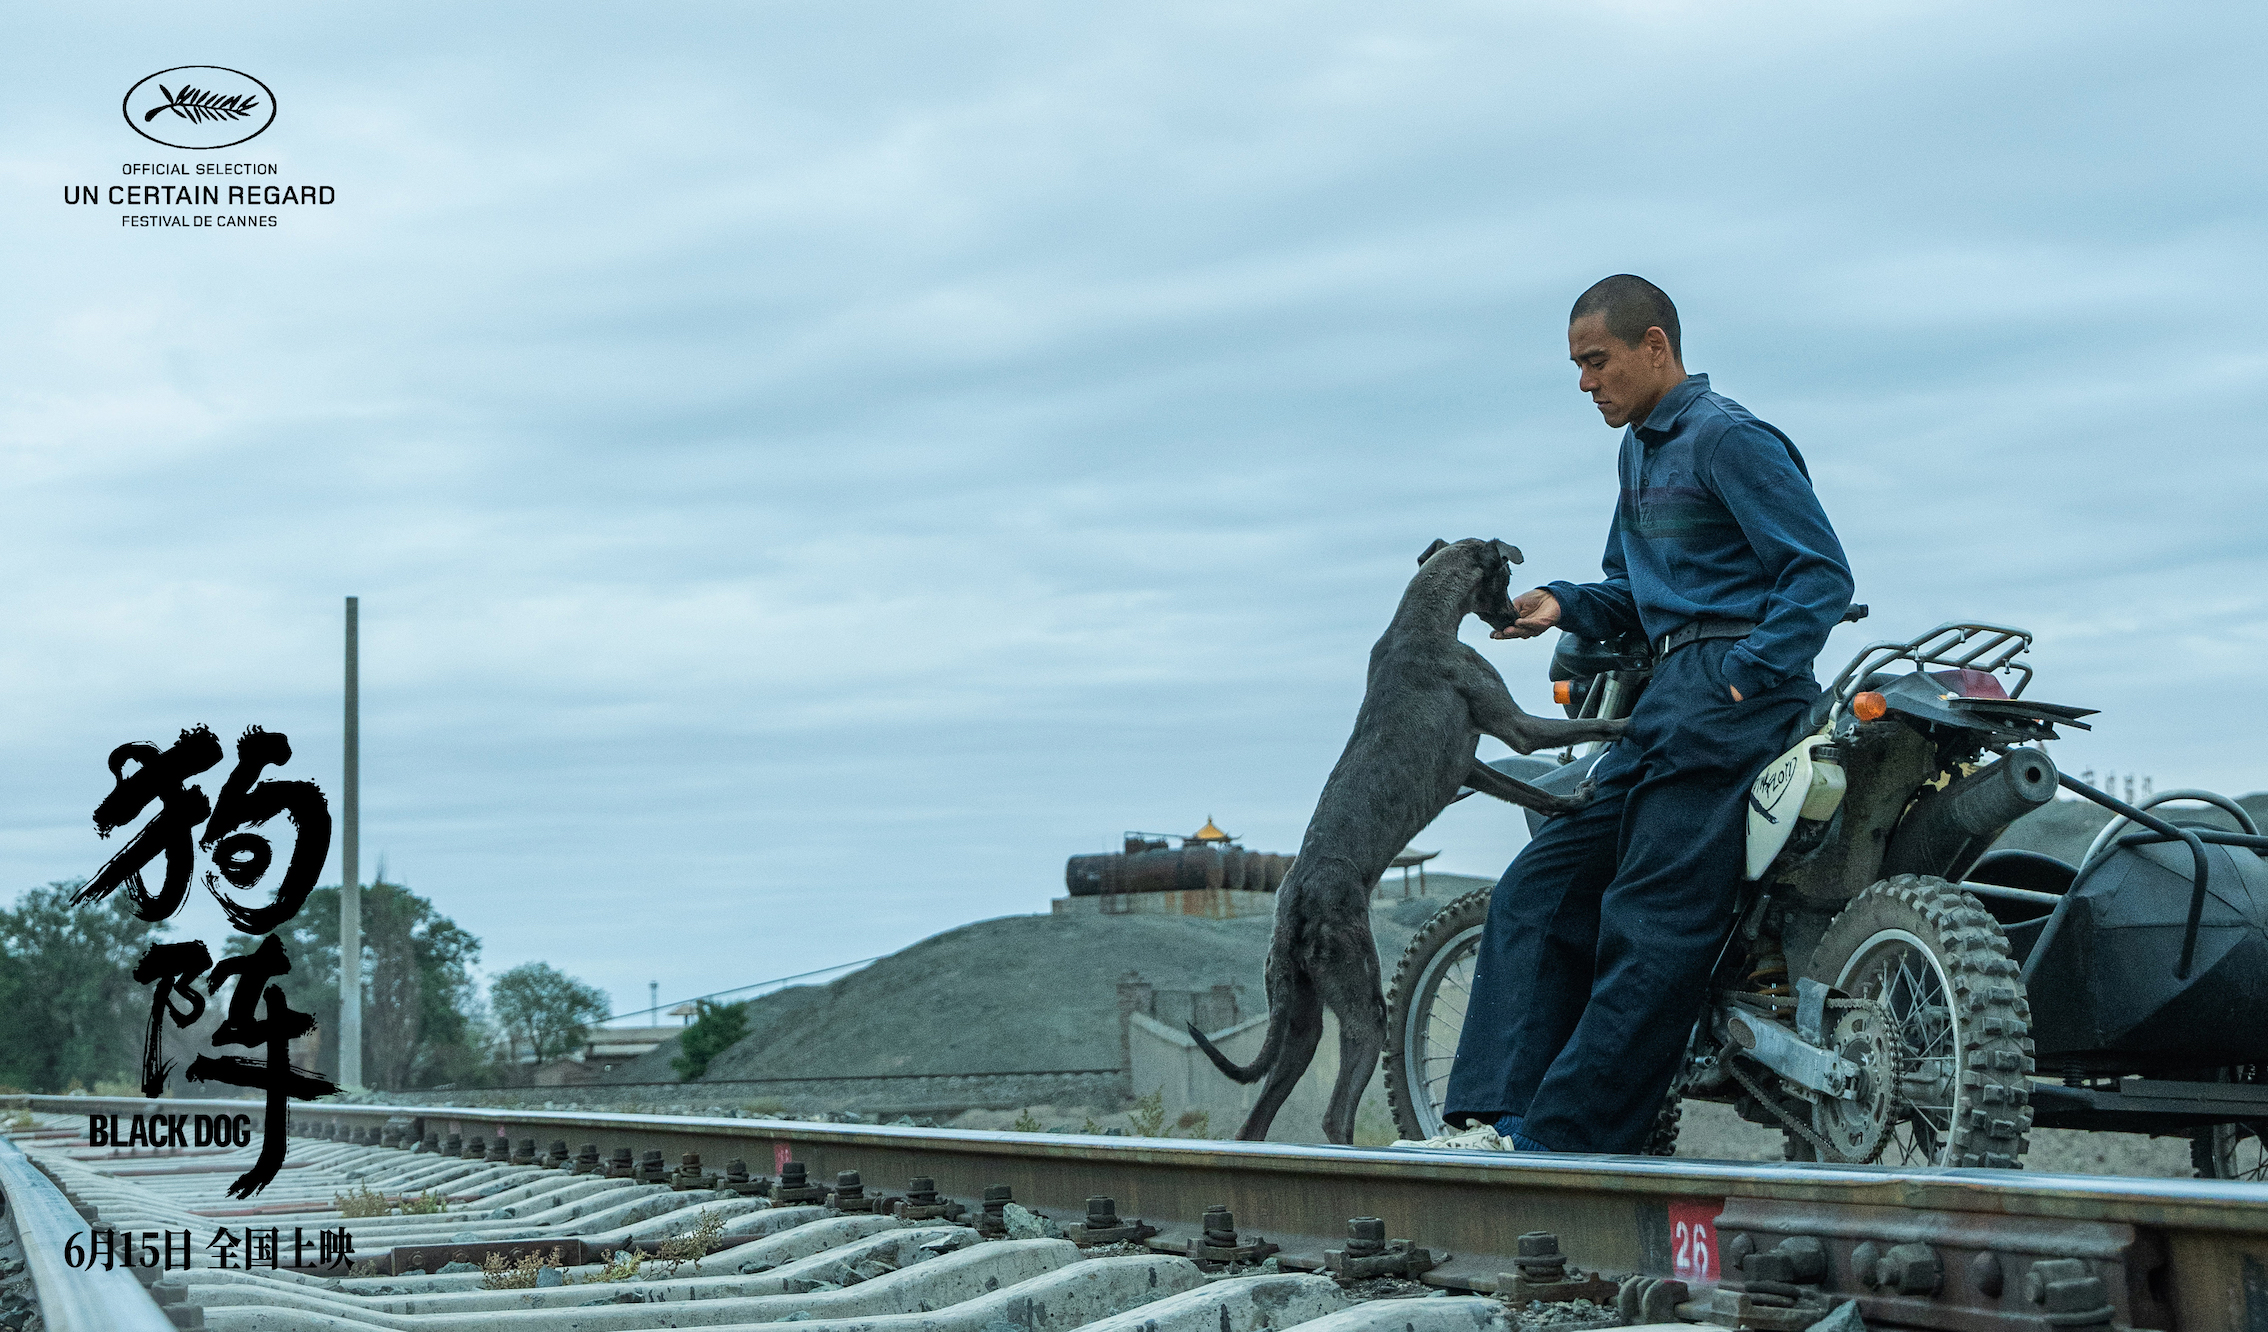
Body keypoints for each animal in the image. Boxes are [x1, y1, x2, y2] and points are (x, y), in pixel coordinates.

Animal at [1188, 537, 1632, 1143]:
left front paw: (1570, 801)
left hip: (1300, 1018)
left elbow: (1531, 792)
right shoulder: (1516, 725)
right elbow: (1588, 728)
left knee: (1255, 1124)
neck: (1420, 620)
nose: (1513, 616)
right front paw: (1631, 726)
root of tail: (1295, 903)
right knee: (1335, 1113)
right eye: (1504, 575)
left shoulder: (1469, 766)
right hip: (1362, 1002)